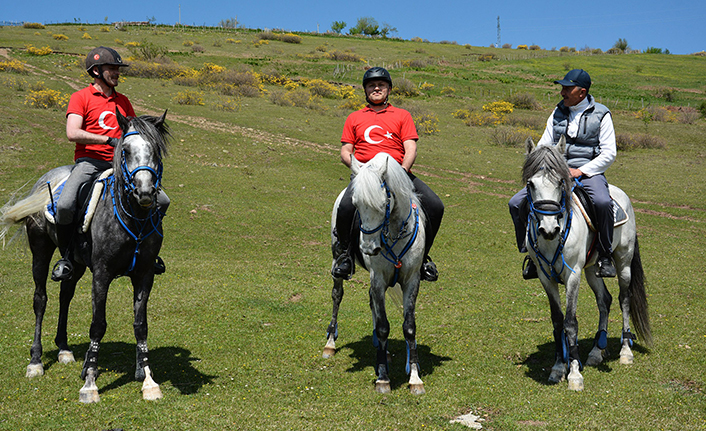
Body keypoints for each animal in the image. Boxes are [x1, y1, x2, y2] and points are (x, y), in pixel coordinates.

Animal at [324, 154, 426, 396]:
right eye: (355, 205)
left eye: (384, 204)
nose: (369, 248)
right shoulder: (378, 278)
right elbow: (382, 326)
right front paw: (383, 378)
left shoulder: (411, 280)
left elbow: (409, 326)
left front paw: (415, 378)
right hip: (337, 261)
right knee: (337, 296)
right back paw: (330, 343)